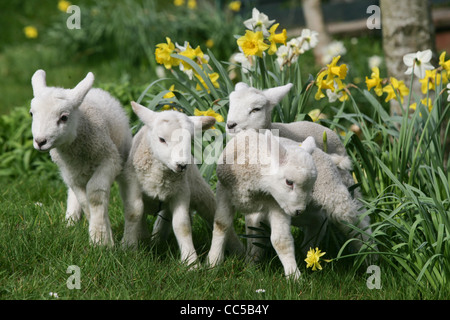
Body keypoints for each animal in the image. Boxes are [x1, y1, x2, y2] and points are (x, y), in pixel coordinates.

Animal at [29, 69, 132, 245]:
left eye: (64, 117)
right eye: (31, 114)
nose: (40, 141)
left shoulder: (110, 161)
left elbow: (95, 194)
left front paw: (100, 239)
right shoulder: (70, 172)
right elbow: (84, 201)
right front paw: (100, 233)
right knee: (73, 193)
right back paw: (69, 222)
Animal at [121, 102, 243, 264]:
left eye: (189, 140)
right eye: (161, 139)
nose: (182, 165)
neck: (160, 176)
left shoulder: (181, 192)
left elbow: (182, 226)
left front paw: (191, 262)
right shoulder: (132, 186)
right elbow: (134, 213)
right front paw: (128, 248)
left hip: (198, 190)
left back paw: (240, 252)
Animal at [207, 131, 316, 280]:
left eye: (312, 188)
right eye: (289, 182)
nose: (299, 211)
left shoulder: (277, 203)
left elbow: (281, 240)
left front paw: (294, 276)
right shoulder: (223, 190)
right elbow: (221, 225)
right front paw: (213, 263)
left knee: (255, 231)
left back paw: (251, 264)